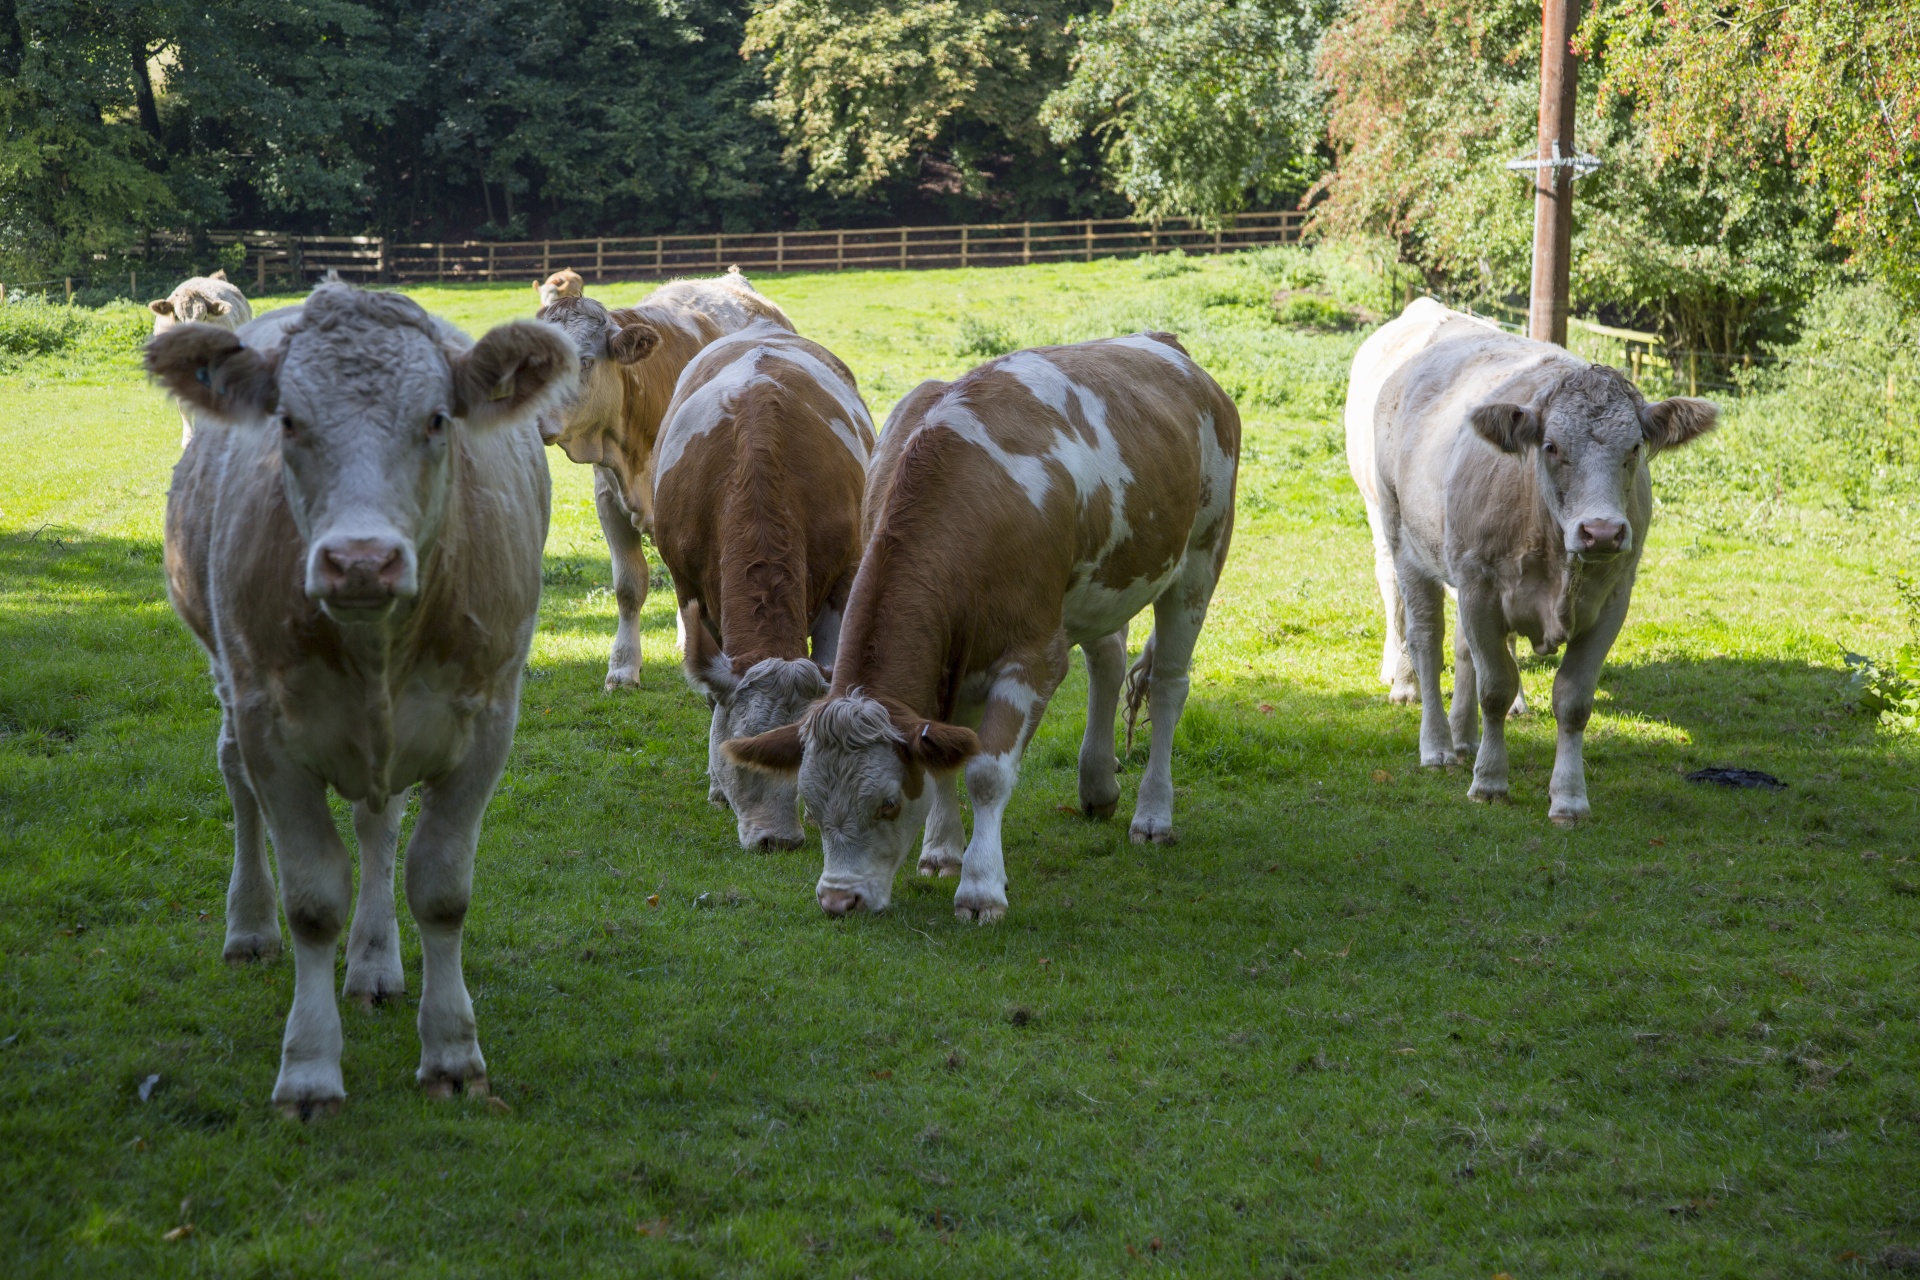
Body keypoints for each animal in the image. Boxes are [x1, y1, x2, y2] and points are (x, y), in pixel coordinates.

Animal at [652, 320, 879, 852]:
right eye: (739, 752)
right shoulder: (689, 586)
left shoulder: (845, 574)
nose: (778, 840)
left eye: (799, 755)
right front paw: (718, 790)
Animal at [725, 335, 1236, 924]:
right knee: (1107, 657)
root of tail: (1163, 344)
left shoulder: (1032, 658)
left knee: (1170, 683)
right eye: (810, 802)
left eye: (889, 803)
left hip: (1200, 558)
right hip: (1098, 588)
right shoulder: (951, 659)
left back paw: (1152, 815)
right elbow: (947, 749)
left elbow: (987, 772)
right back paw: (1098, 784)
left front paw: (980, 887)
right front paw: (941, 851)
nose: (838, 899)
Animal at [1374, 303, 1720, 821]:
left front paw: (1569, 797)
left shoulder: (1613, 600)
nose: (1602, 531)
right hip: (1405, 543)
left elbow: (1573, 701)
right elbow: (1496, 688)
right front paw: (1490, 780)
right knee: (1427, 642)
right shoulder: (1478, 589)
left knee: (1460, 649)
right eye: (1552, 446)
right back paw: (1436, 745)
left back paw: (1463, 738)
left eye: (1634, 447)